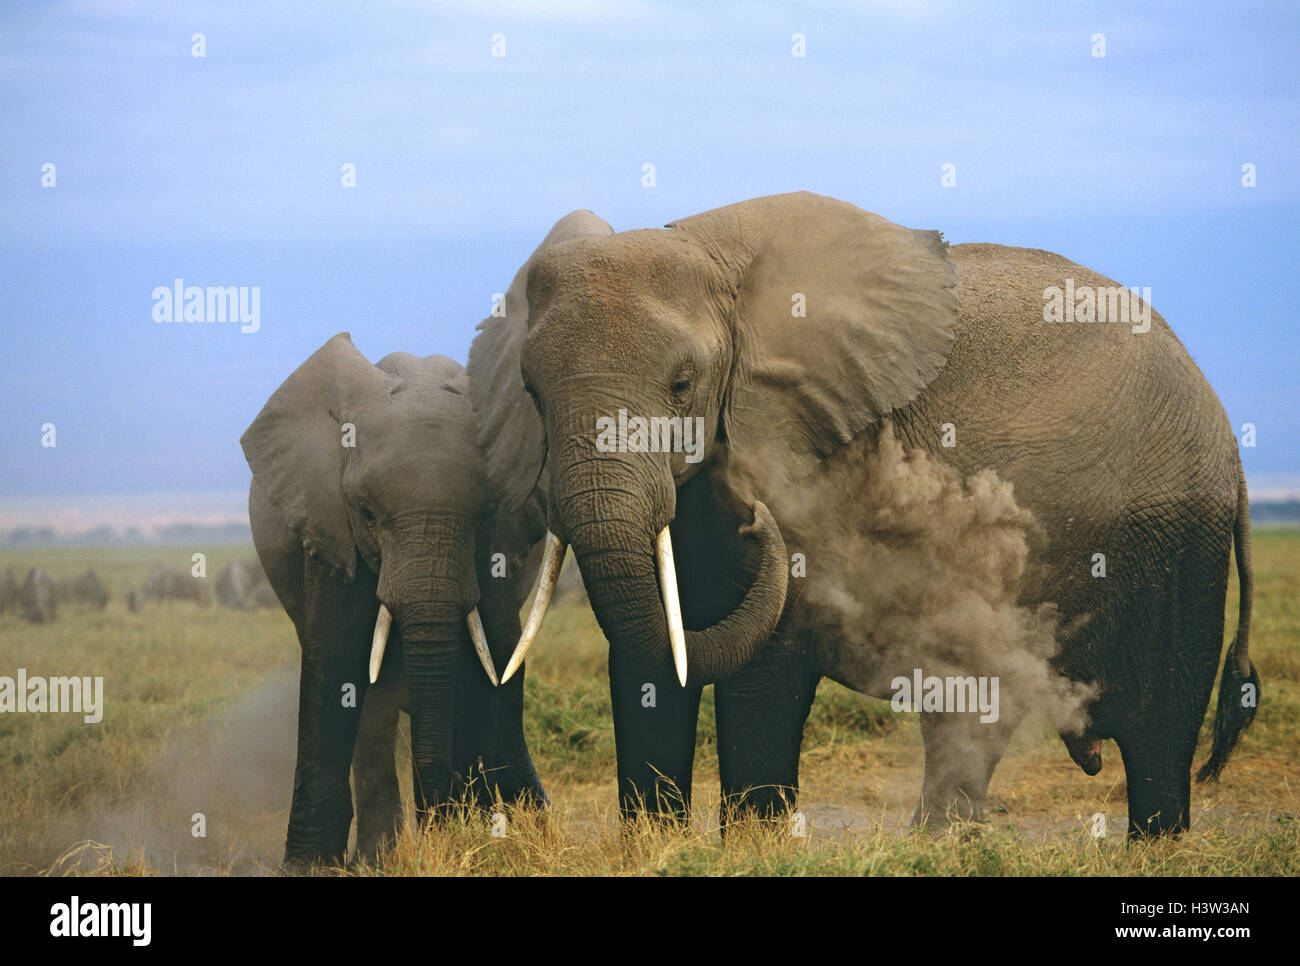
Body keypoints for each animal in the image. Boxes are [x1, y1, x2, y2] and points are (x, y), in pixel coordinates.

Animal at [241, 208, 611, 863]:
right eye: (366, 512)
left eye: (484, 511)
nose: (440, 821)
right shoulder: (329, 527)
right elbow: (336, 659)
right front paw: (311, 866)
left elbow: (487, 653)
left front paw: (475, 837)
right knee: (372, 707)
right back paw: (379, 855)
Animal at [496, 191, 1258, 837]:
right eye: (531, 392)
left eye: (682, 386)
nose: (760, 520)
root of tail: (1226, 430)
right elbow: (650, 653)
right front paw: (656, 846)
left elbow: (765, 663)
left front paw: (752, 848)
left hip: (1175, 544)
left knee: (1159, 728)